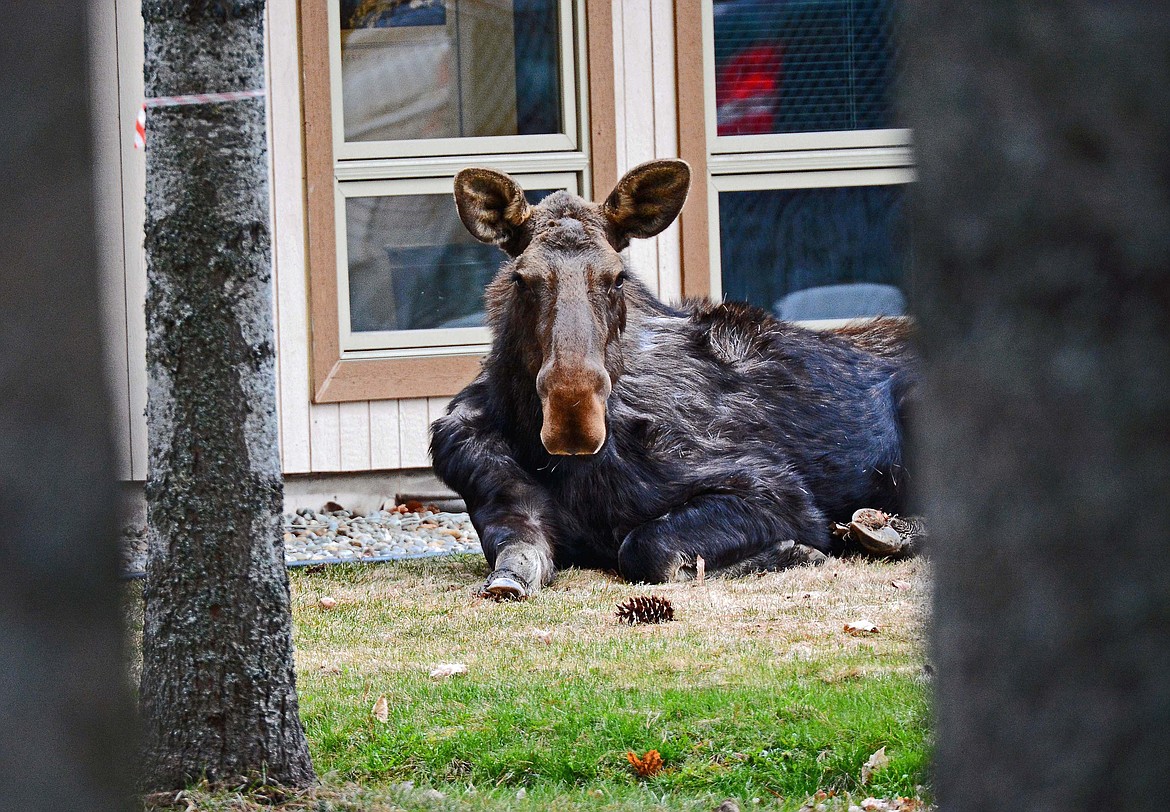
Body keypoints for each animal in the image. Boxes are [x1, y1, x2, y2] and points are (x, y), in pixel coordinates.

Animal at [425, 162, 917, 599]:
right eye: (522, 279)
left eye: (618, 277)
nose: (573, 417)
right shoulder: (502, 501)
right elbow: (514, 562)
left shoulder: (777, 490)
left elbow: (646, 547)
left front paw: (794, 552)